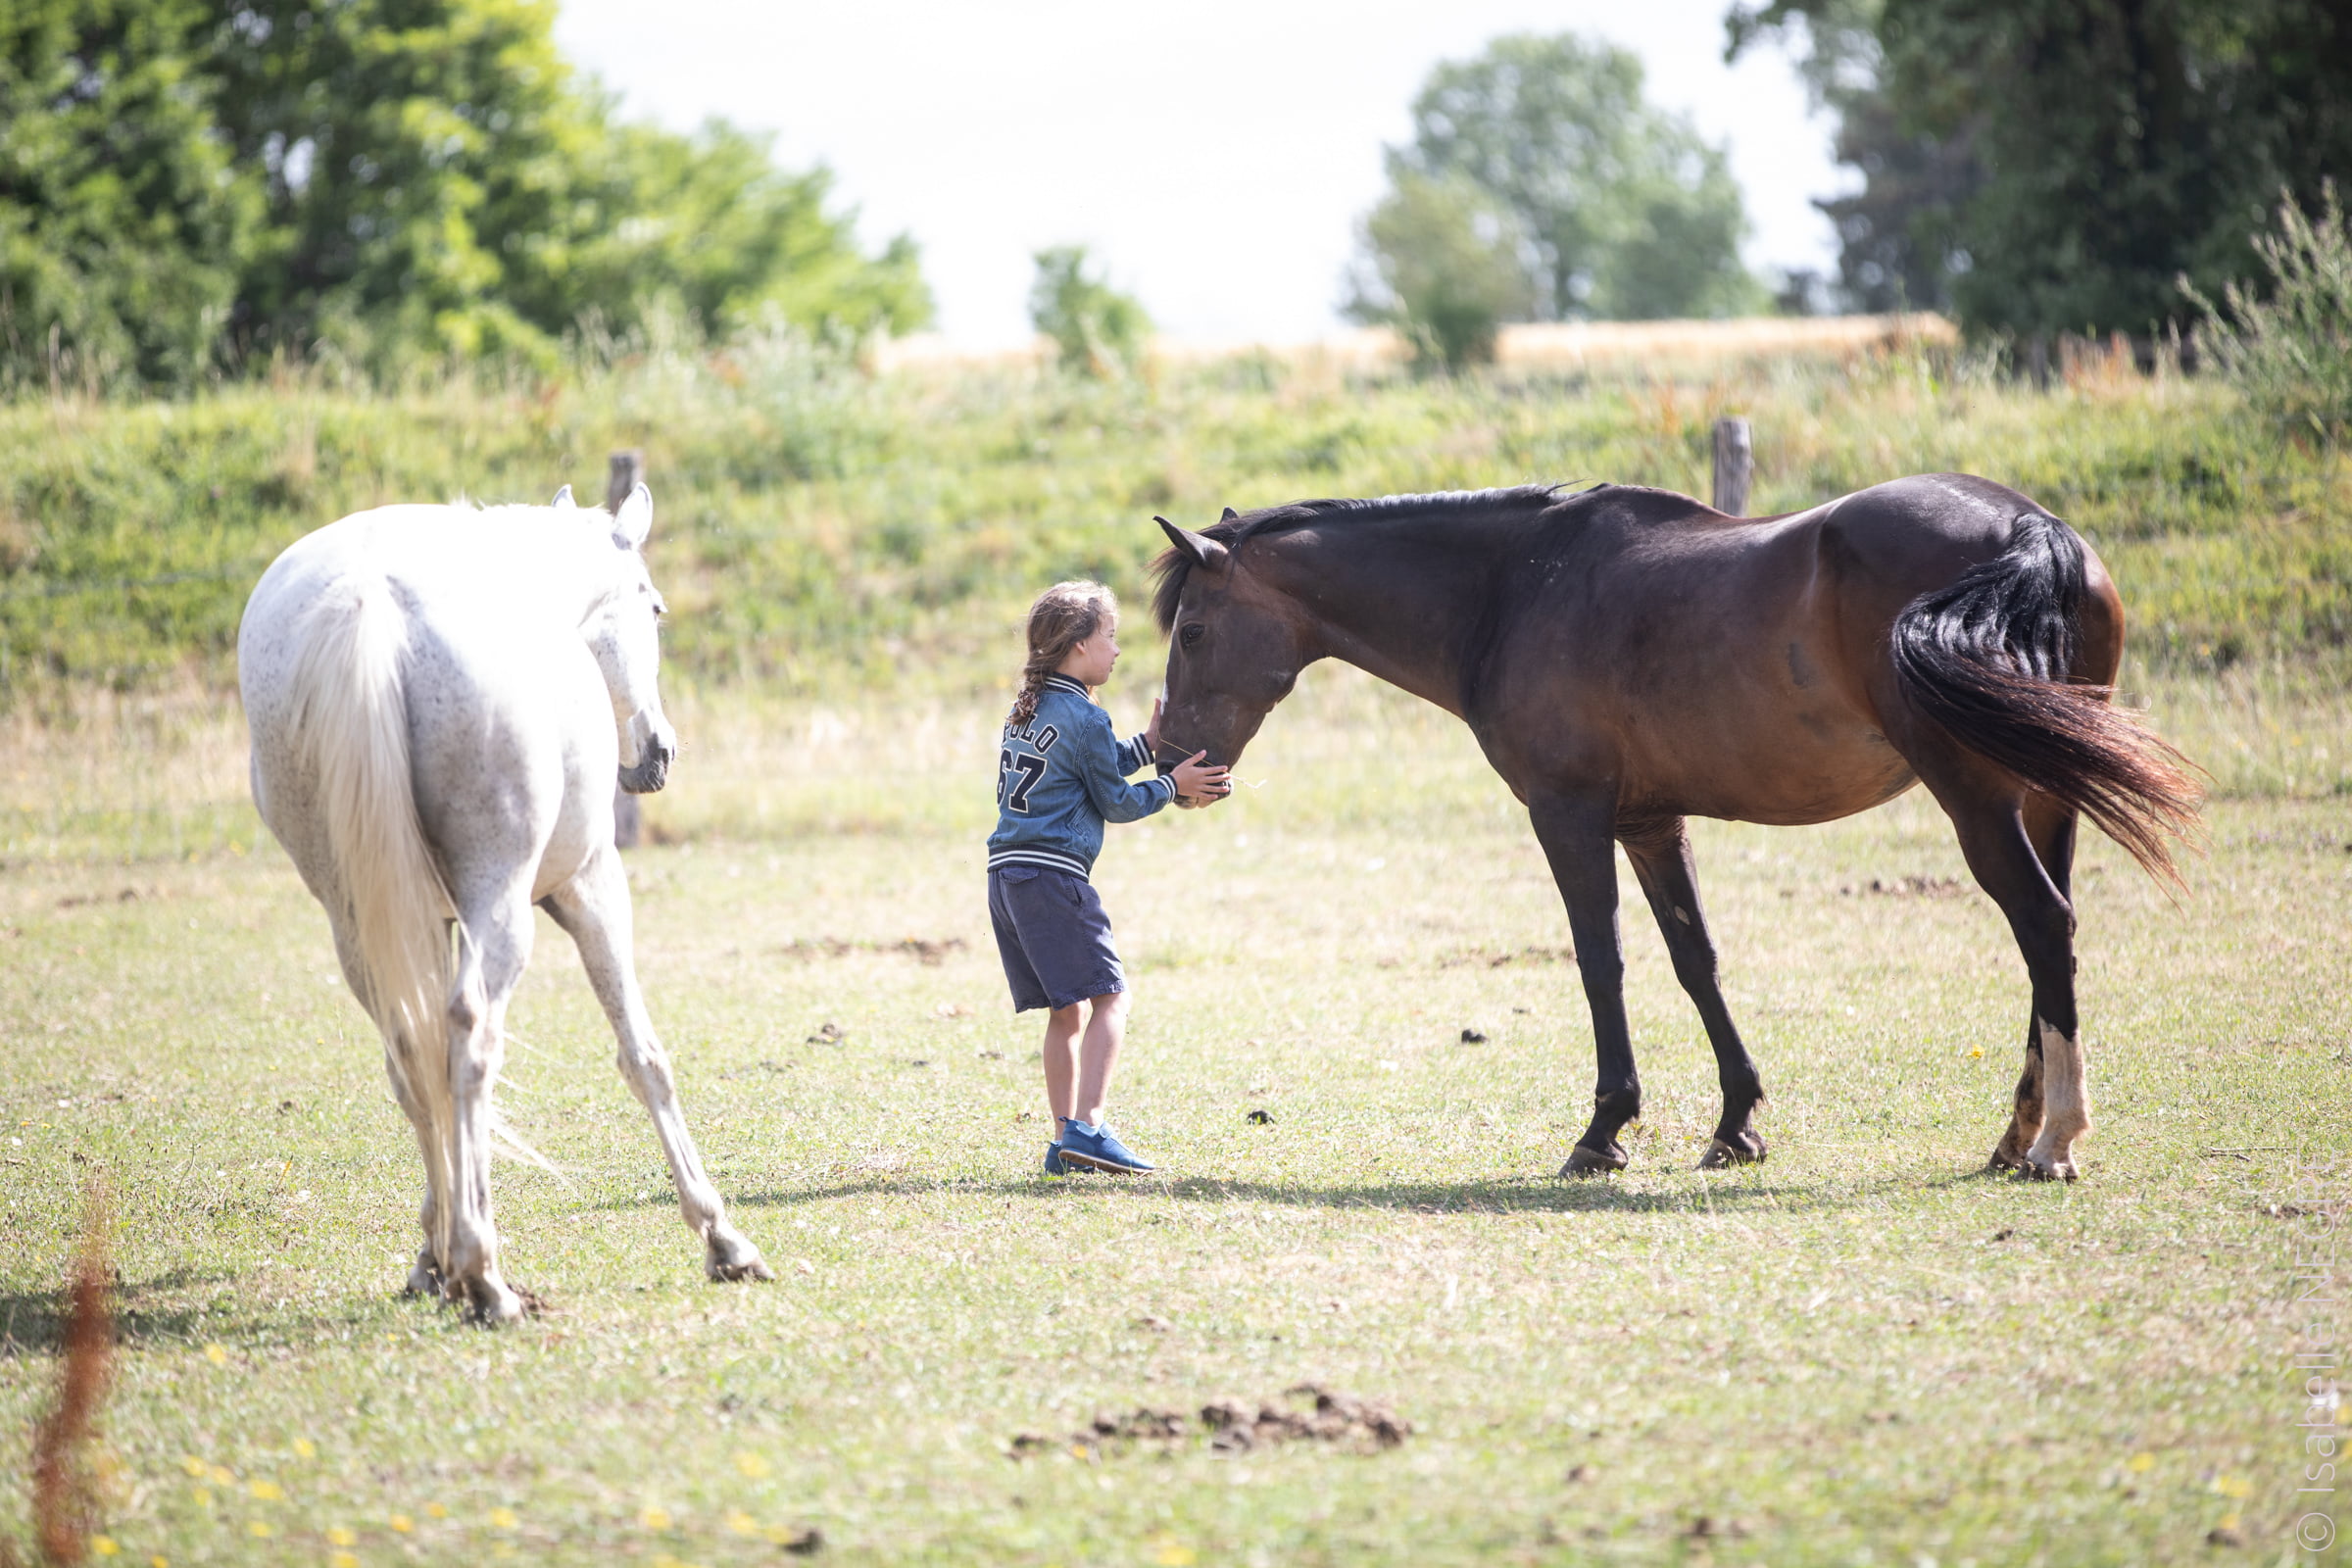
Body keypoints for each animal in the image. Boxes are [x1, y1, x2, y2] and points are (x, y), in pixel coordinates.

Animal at [238, 484, 771, 1316]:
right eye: (653, 609)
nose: (658, 750)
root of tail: (372, 597)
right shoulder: (590, 887)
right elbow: (643, 1055)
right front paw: (721, 1236)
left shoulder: (427, 920)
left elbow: (426, 1067)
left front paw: (429, 1254)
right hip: (505, 907)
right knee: (472, 1035)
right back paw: (484, 1272)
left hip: (356, 921)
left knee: (412, 1050)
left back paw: (455, 1258)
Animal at [1148, 474, 2191, 1175]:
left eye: (1192, 631)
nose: (1170, 760)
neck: (1512, 589)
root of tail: (2027, 527)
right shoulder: (1651, 824)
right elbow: (1698, 962)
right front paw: (1736, 1124)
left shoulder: (1568, 814)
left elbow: (1599, 960)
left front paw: (1603, 1131)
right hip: (2046, 792)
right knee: (2047, 940)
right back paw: (2017, 1134)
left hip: (1977, 794)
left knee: (2041, 922)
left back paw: (2055, 1139)